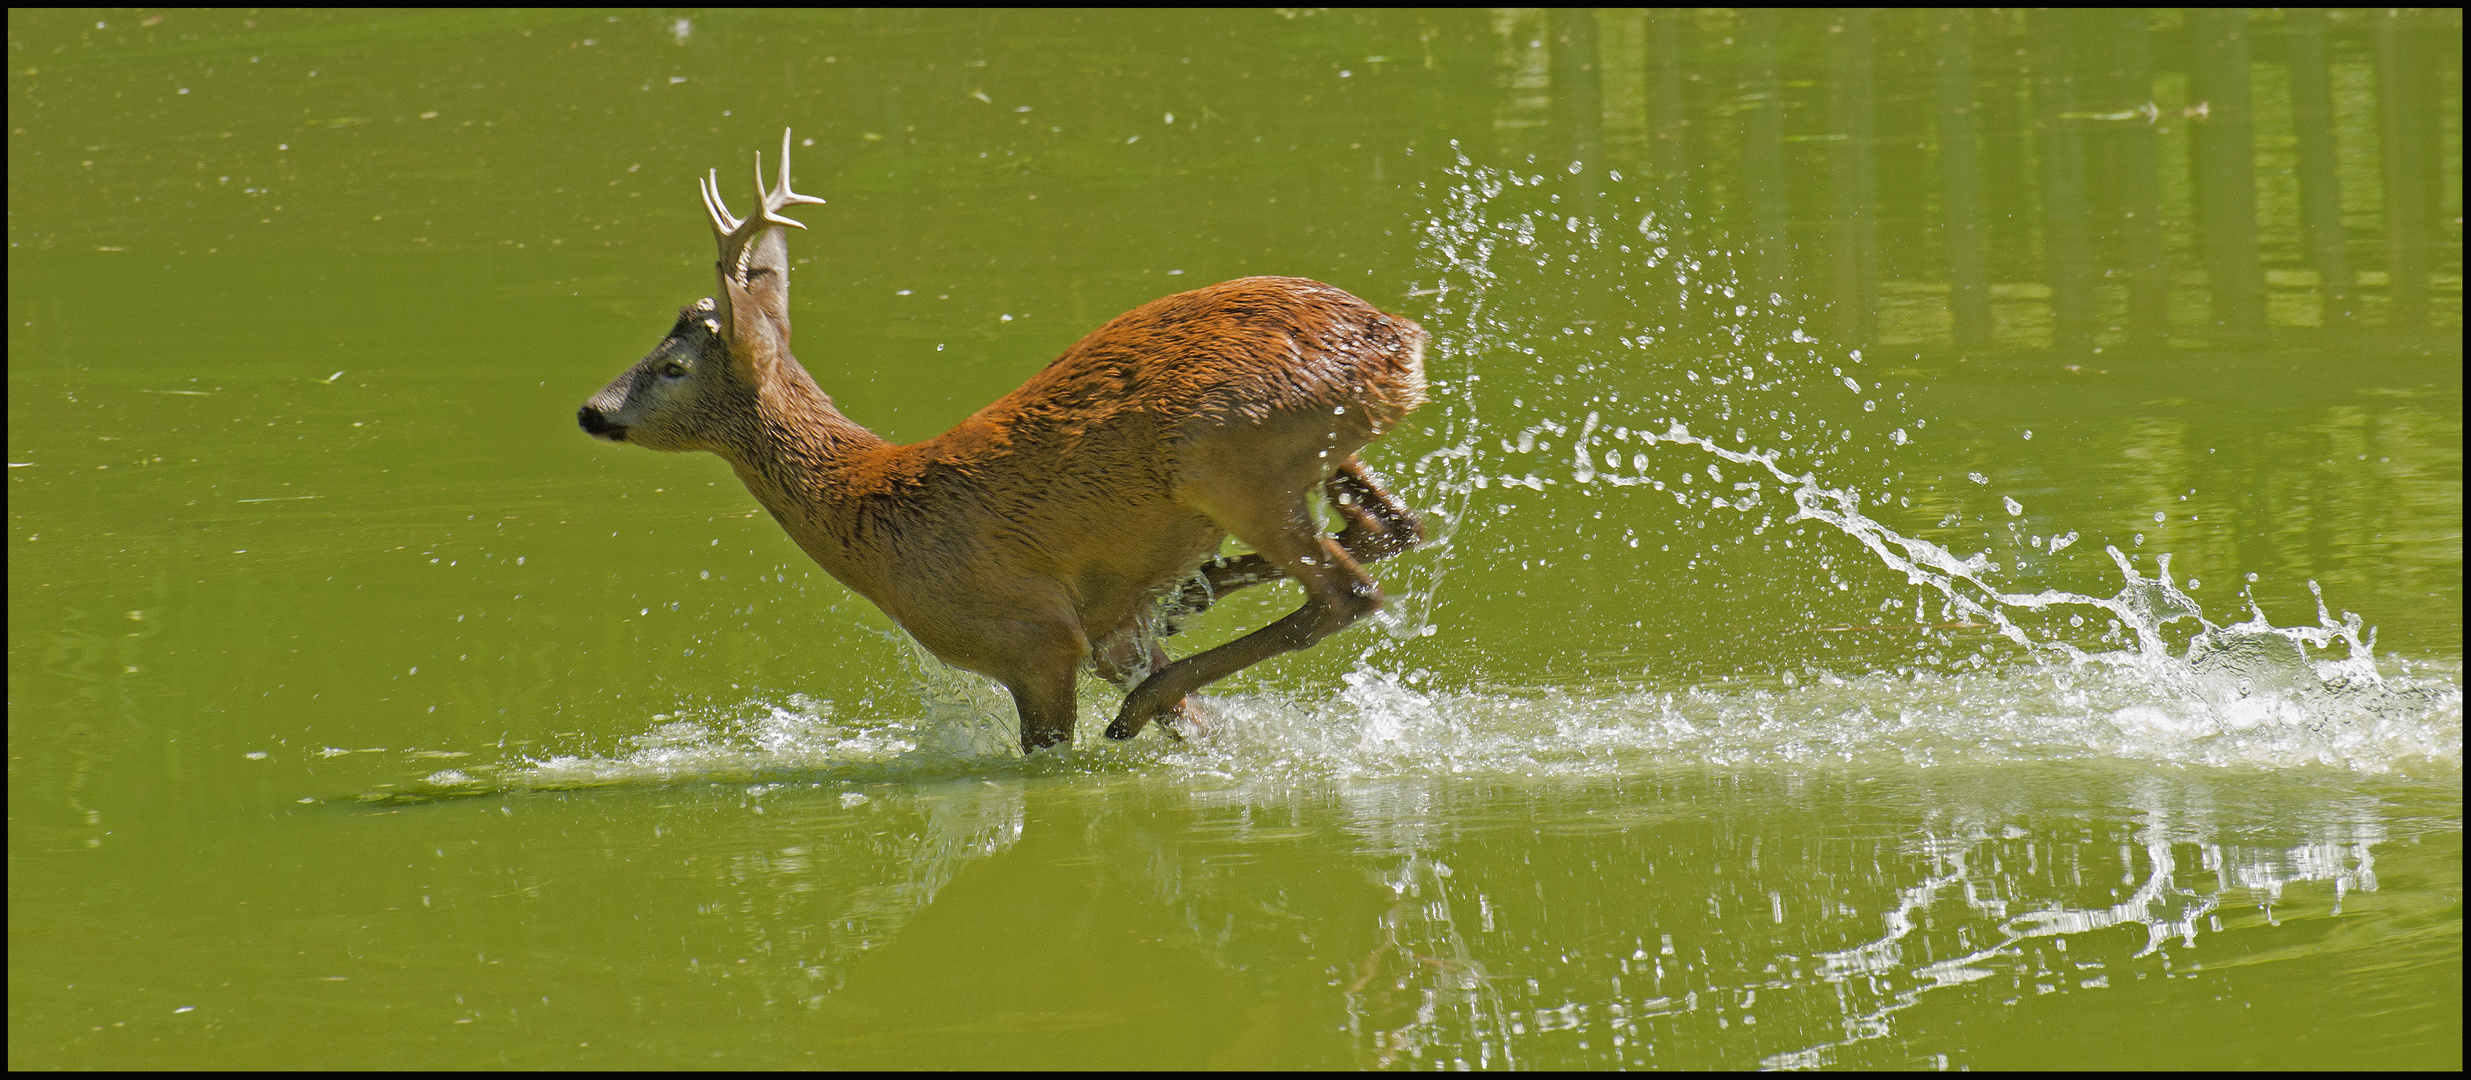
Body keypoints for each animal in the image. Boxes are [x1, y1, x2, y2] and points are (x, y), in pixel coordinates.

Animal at [578, 130, 1433, 751]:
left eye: (672, 366)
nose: (589, 410)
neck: (871, 513)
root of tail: (1401, 343)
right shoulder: (1079, 633)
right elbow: (1184, 713)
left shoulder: (1027, 641)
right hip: (1310, 454)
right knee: (1390, 526)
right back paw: (1194, 602)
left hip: (1229, 459)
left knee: (1347, 591)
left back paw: (1148, 686)